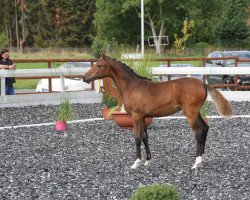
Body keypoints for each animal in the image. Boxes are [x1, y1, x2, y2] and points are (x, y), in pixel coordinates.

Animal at [82, 55, 232, 170]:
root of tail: (202, 84)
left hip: (190, 113)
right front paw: (148, 161)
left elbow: (137, 138)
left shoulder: (136, 116)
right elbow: (145, 137)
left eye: (99, 65)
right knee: (205, 128)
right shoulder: (143, 117)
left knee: (198, 132)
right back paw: (202, 159)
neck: (132, 87)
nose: (84, 77)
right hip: (196, 113)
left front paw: (136, 163)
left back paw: (197, 162)